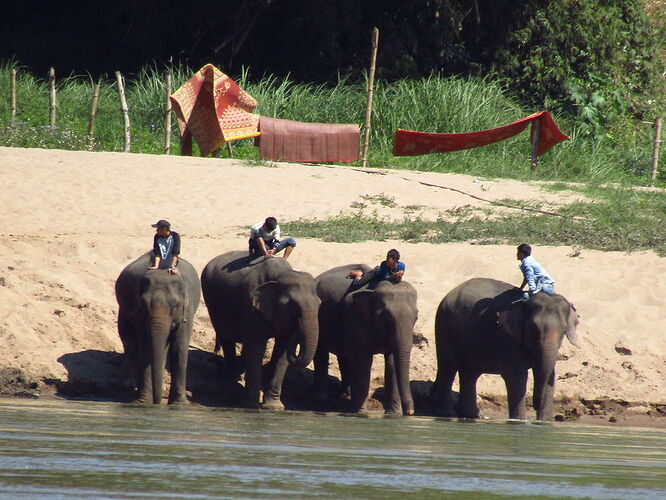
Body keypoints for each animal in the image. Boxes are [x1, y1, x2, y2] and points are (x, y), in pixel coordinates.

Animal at [114, 252, 200, 404]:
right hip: (123, 310)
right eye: (144, 304)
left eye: (174, 306)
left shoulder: (188, 312)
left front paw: (179, 404)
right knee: (128, 340)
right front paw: (143, 402)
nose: (158, 401)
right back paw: (128, 384)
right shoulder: (140, 314)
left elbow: (179, 347)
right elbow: (145, 347)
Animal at [200, 252, 320, 408]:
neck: (280, 275)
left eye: (320, 304)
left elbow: (282, 352)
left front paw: (274, 407)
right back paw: (231, 379)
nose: (298, 330)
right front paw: (251, 406)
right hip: (212, 302)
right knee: (226, 336)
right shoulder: (251, 304)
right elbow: (257, 348)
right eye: (294, 307)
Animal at [312, 266, 416, 414]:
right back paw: (322, 402)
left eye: (416, 318)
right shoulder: (355, 316)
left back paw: (345, 397)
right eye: (386, 317)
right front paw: (361, 413)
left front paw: (394, 414)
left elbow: (391, 361)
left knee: (345, 356)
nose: (410, 412)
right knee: (321, 352)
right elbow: (363, 359)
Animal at [430, 278, 576, 422]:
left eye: (564, 331)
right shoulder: (507, 338)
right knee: (448, 368)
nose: (534, 407)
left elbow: (550, 377)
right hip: (444, 323)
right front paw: (519, 421)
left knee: (469, 374)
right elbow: (517, 377)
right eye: (533, 328)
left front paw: (544, 422)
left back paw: (470, 416)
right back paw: (447, 415)